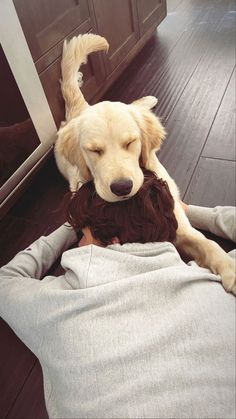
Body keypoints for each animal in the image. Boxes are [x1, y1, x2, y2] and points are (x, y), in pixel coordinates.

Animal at [54, 33, 236, 296]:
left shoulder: (179, 224)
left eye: (130, 142)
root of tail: (80, 107)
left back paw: (147, 101)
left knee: (134, 105)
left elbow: (206, 242)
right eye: (95, 150)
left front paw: (229, 268)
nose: (122, 187)